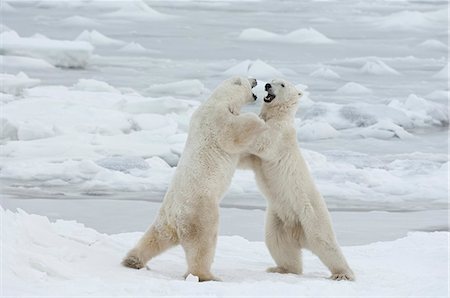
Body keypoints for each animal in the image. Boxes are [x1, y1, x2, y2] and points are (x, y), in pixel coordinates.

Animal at [121, 77, 266, 282]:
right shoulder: (217, 118)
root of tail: (175, 217)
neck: (220, 99)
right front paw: (259, 120)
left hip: (165, 219)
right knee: (202, 244)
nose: (255, 79)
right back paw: (207, 276)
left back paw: (133, 260)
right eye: (248, 80)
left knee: (155, 237)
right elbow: (233, 134)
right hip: (200, 211)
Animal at [239, 78, 356, 280]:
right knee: (277, 243)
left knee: (325, 243)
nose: (267, 85)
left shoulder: (279, 135)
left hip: (312, 214)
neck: (279, 116)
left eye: (282, 84)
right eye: (272, 80)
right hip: (278, 219)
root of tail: (298, 233)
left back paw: (343, 274)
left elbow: (263, 142)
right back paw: (281, 268)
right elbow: (248, 158)